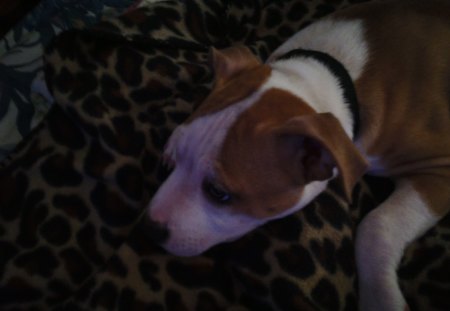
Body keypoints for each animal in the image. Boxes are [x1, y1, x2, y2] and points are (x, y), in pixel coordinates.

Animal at [148, 1, 450, 310]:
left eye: (218, 193)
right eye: (171, 159)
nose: (150, 227)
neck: (331, 77)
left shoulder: (440, 170)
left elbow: (376, 227)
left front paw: (381, 298)